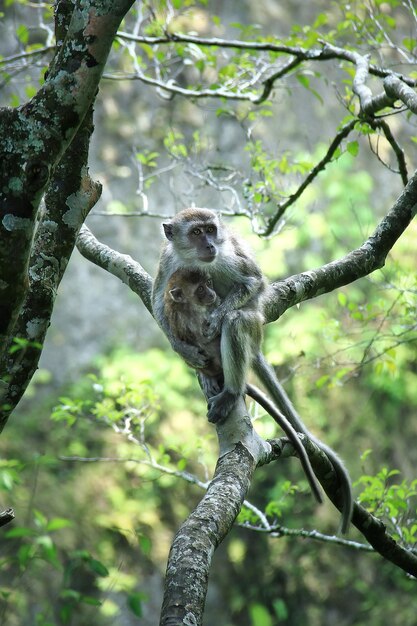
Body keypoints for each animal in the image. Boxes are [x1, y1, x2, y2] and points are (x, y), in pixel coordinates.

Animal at [151, 207, 352, 528]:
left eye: (210, 229)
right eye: (196, 232)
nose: (210, 244)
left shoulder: (228, 258)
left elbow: (253, 282)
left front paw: (217, 317)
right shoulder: (167, 261)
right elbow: (158, 302)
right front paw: (181, 348)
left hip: (254, 327)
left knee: (238, 320)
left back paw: (231, 391)